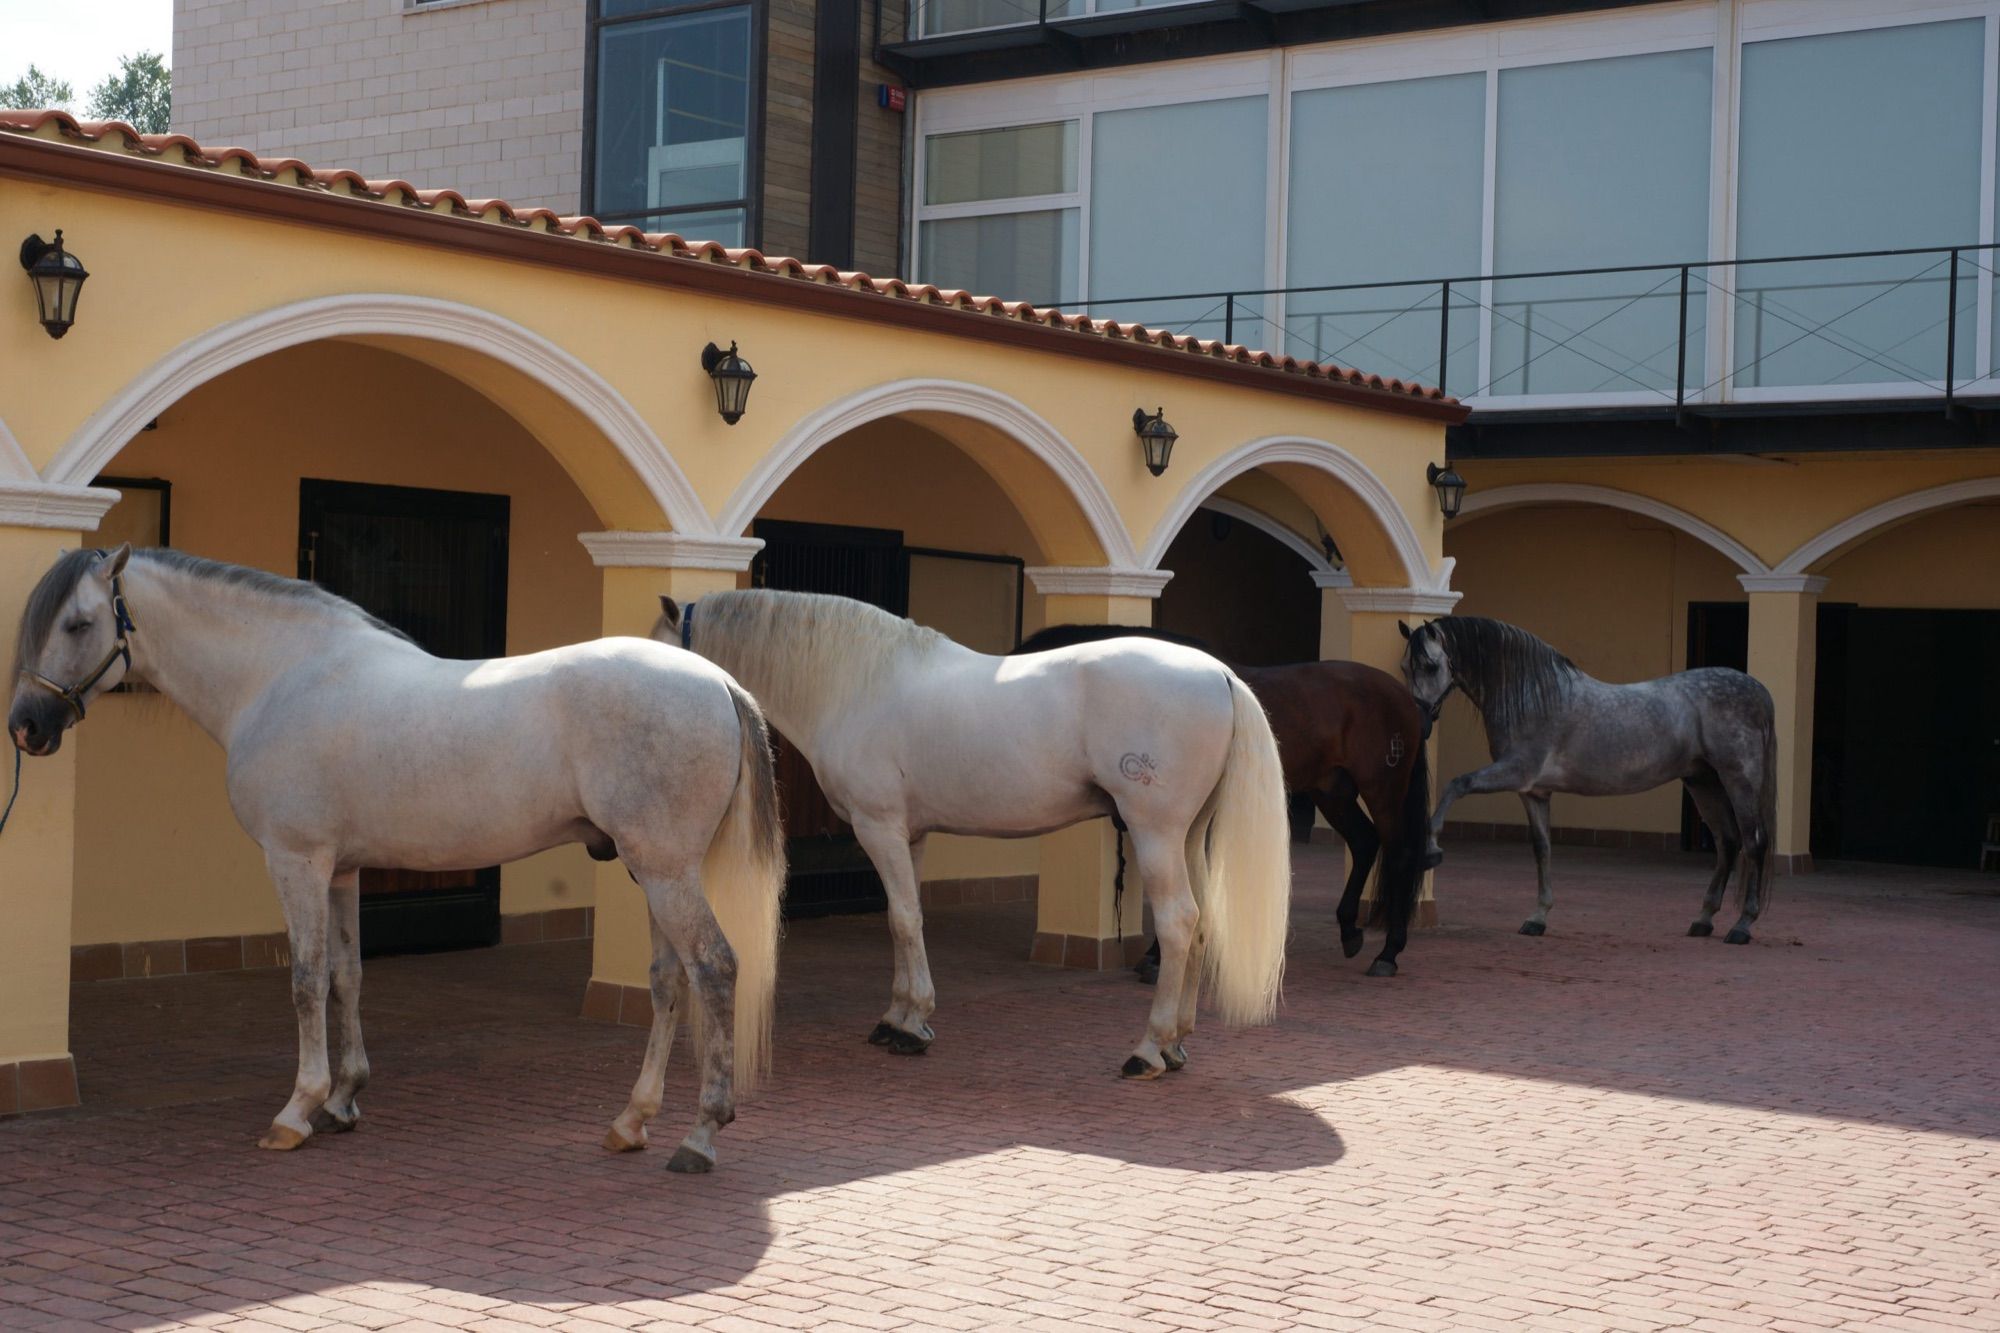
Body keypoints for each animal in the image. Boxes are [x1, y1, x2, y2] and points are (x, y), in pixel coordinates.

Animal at [9, 546, 784, 1172]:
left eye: (76, 624)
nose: (26, 726)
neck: (280, 675)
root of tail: (718, 681)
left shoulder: (296, 861)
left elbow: (304, 980)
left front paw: (297, 1111)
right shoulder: (342, 868)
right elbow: (346, 975)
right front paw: (344, 1099)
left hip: (664, 869)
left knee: (715, 969)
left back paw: (700, 1136)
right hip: (651, 869)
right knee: (668, 981)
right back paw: (631, 1122)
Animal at [656, 588, 1291, 1079]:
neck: (856, 683)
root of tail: (1220, 674)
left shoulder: (878, 827)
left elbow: (901, 919)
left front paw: (909, 1026)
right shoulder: (909, 835)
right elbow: (907, 919)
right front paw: (902, 1019)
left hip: (1152, 832)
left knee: (1179, 923)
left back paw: (1149, 1050)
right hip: (1189, 836)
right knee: (1201, 922)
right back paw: (1178, 1044)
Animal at [1013, 625, 1432, 978]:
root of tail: (1403, 698)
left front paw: (1159, 957)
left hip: (1382, 788)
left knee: (1398, 854)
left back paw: (1388, 953)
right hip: (1332, 790)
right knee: (1364, 842)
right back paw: (1350, 931)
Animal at [1399, 615, 1777, 944]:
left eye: (1430, 666)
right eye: (1404, 667)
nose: (1419, 721)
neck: (1534, 695)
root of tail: (1756, 688)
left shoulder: (1516, 771)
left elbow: (1457, 784)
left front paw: (1430, 848)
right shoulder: (1533, 792)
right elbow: (1542, 848)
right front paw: (1538, 918)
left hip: (1739, 781)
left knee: (1753, 842)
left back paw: (1742, 926)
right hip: (1703, 783)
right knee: (1728, 843)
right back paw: (1703, 919)